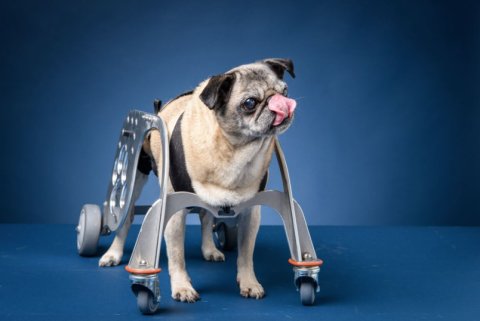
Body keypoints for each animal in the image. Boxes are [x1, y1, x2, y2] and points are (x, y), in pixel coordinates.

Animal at [100, 58, 298, 302]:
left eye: (285, 91)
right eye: (250, 103)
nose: (281, 102)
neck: (235, 152)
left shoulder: (251, 214)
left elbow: (245, 254)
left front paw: (249, 282)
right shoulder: (174, 213)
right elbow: (177, 256)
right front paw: (182, 286)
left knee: (205, 217)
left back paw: (210, 249)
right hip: (133, 178)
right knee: (124, 218)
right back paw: (113, 253)